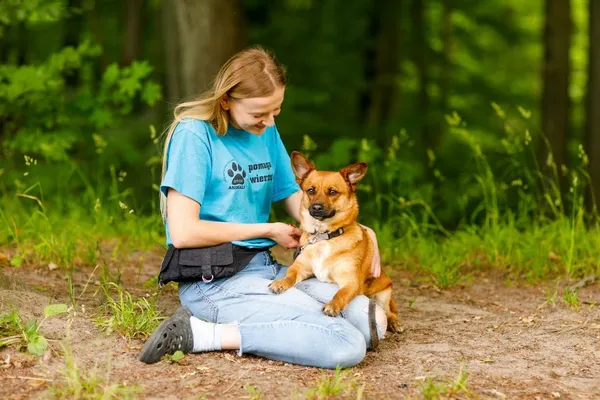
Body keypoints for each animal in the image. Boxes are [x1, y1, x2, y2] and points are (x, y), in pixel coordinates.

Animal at [268, 152, 400, 332]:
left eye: (332, 192)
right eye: (311, 190)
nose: (316, 207)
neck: (323, 236)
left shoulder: (350, 282)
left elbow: (341, 294)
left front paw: (333, 305)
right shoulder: (300, 268)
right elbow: (290, 275)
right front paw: (280, 283)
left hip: (382, 295)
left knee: (390, 311)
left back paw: (394, 323)